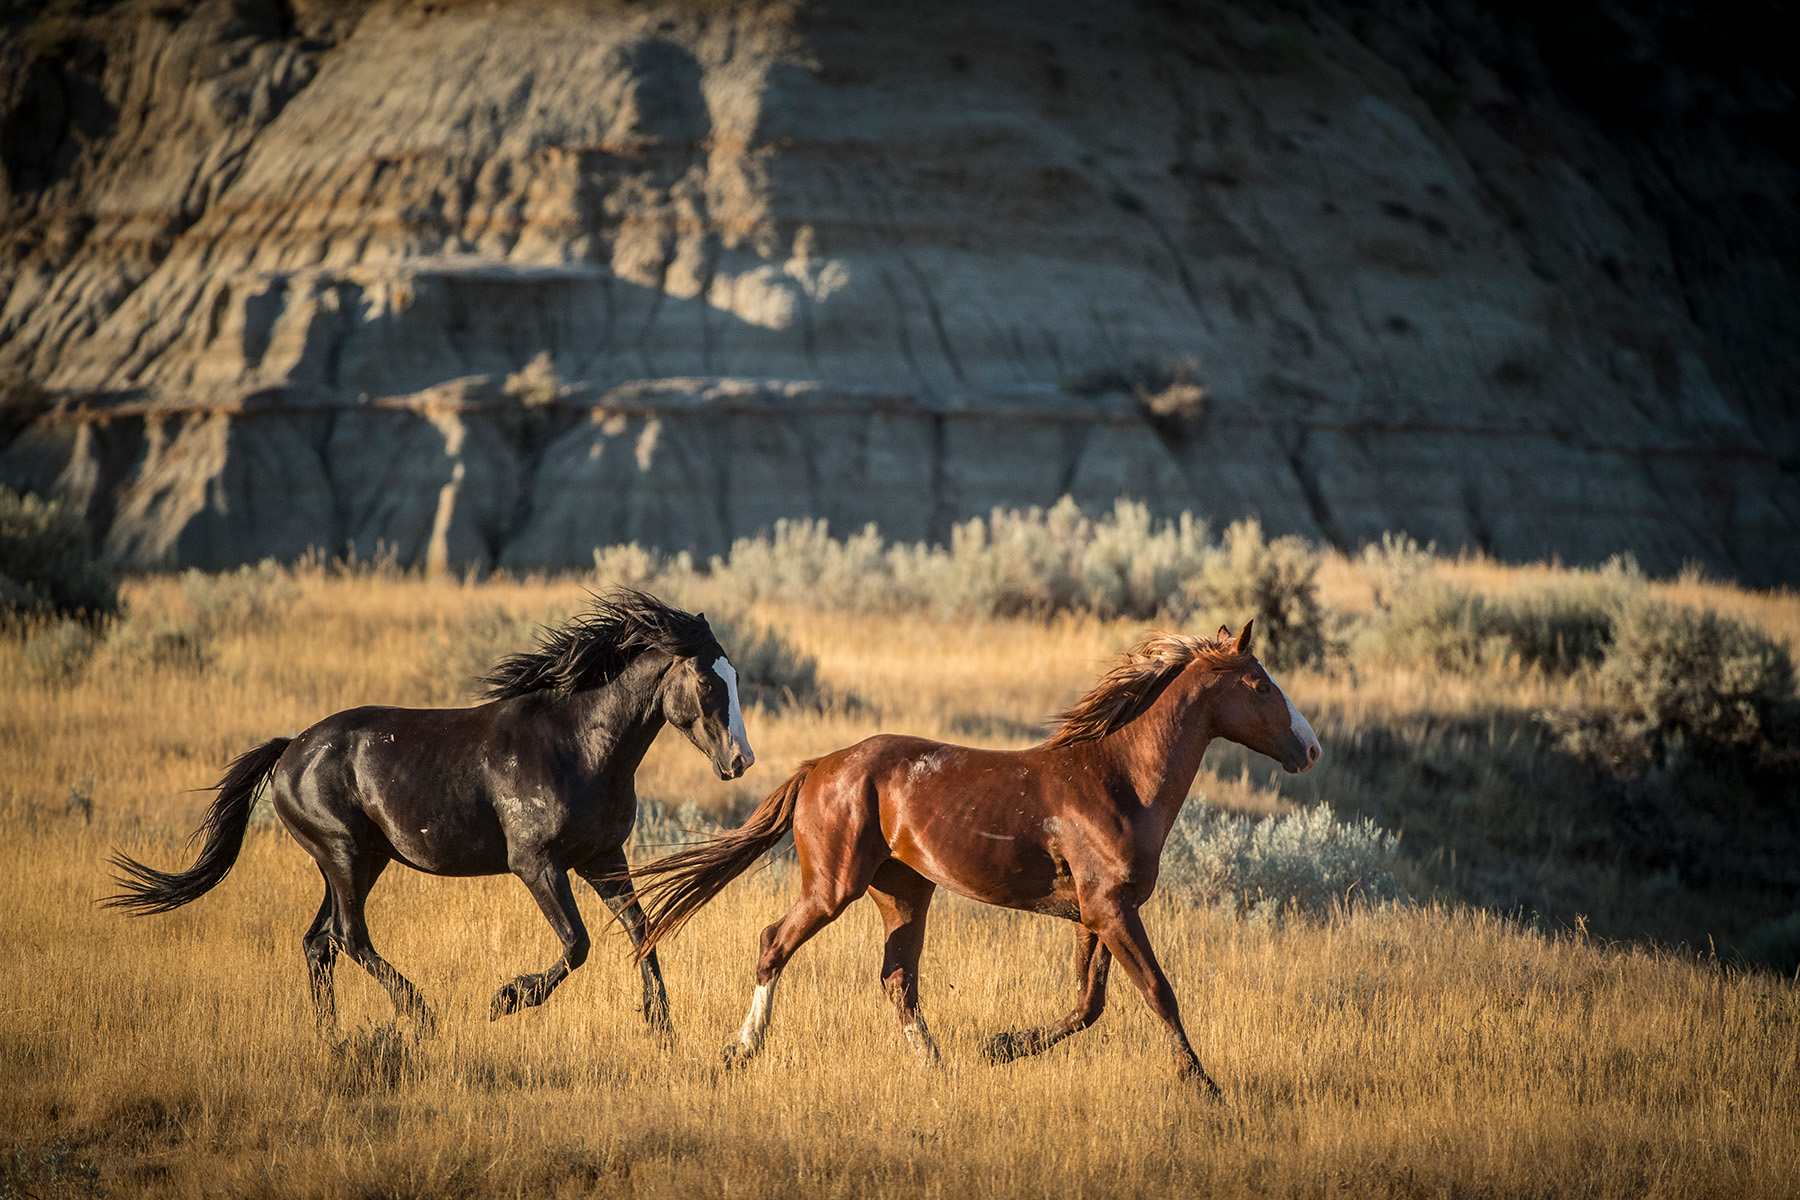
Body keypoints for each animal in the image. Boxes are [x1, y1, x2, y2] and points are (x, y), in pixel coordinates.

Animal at [106, 589, 756, 1037]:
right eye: (707, 681)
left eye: (735, 676)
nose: (741, 760)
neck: (578, 744)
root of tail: (291, 748)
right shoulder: (537, 864)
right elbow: (577, 944)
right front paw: (505, 999)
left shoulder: (603, 857)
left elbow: (642, 930)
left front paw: (661, 1026)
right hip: (343, 854)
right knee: (347, 936)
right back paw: (420, 1013)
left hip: (361, 861)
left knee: (319, 943)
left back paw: (332, 1039)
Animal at [625, 620, 1318, 1095]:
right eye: (1259, 685)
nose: (1309, 749)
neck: (1117, 780)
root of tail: (818, 766)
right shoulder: (1112, 911)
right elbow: (1157, 992)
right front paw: (1207, 1089)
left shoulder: (1098, 915)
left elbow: (1088, 1005)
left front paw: (1001, 1045)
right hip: (832, 887)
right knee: (776, 943)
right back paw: (741, 1049)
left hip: (903, 892)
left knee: (898, 980)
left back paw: (938, 1067)